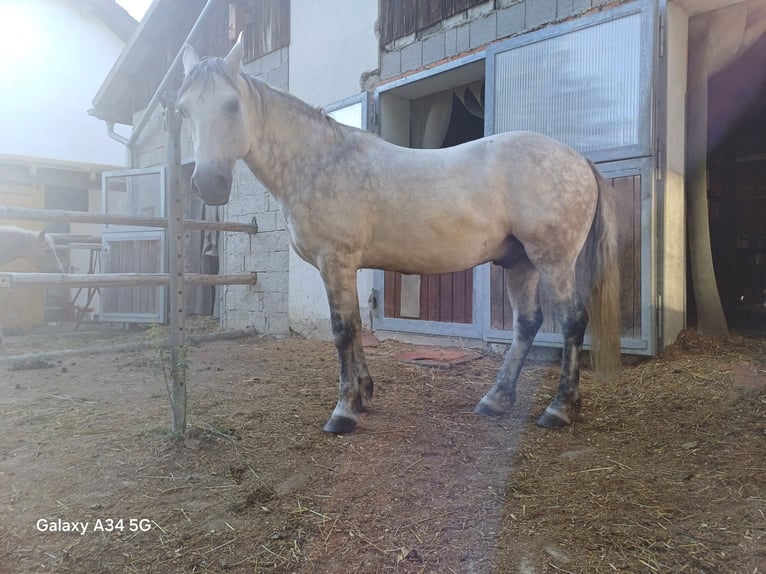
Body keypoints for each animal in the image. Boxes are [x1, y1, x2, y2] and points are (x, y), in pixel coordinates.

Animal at [177, 38, 620, 434]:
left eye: (232, 105)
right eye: (183, 110)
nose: (209, 184)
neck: (318, 162)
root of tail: (578, 160)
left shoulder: (335, 261)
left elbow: (342, 331)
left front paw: (343, 413)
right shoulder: (344, 267)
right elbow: (356, 325)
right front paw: (363, 395)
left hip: (552, 260)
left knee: (571, 321)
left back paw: (558, 409)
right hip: (519, 261)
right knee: (527, 324)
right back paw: (495, 401)